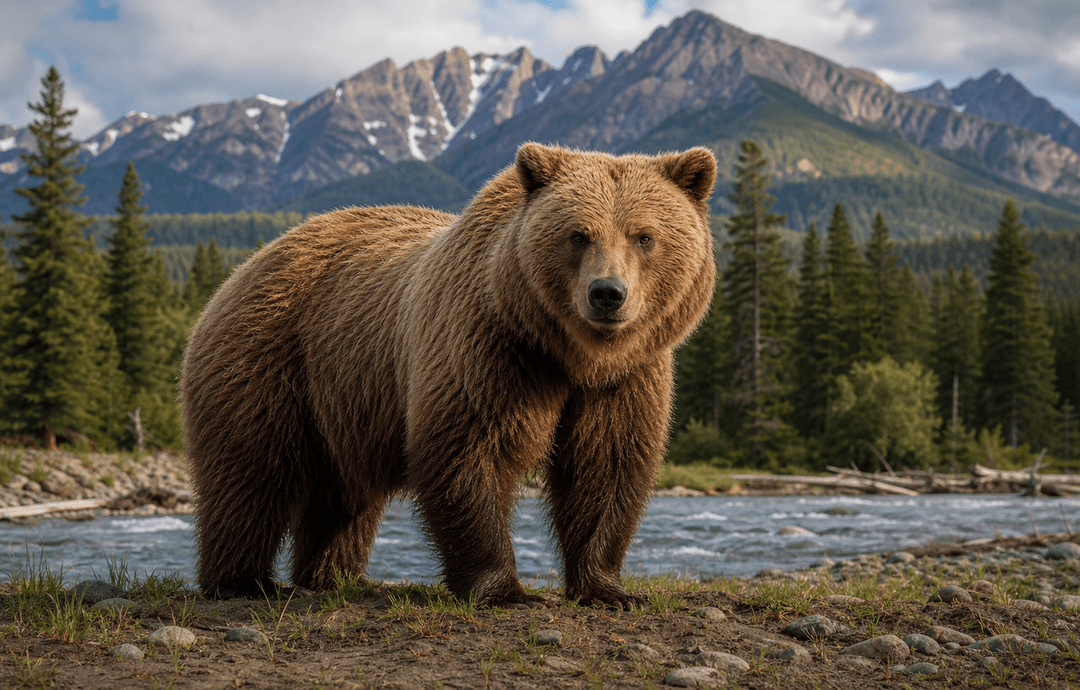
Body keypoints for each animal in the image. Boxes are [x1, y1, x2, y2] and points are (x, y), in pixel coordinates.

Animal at [179, 142, 717, 609]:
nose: (607, 293)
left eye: (644, 236)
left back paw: (337, 576)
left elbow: (606, 464)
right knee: (252, 472)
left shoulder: (624, 378)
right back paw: (243, 581)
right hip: (271, 359)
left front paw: (609, 589)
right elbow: (469, 450)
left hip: (345, 401)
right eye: (578, 234)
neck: (569, 354)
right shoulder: (487, 349)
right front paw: (504, 590)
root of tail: (245, 266)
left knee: (343, 496)